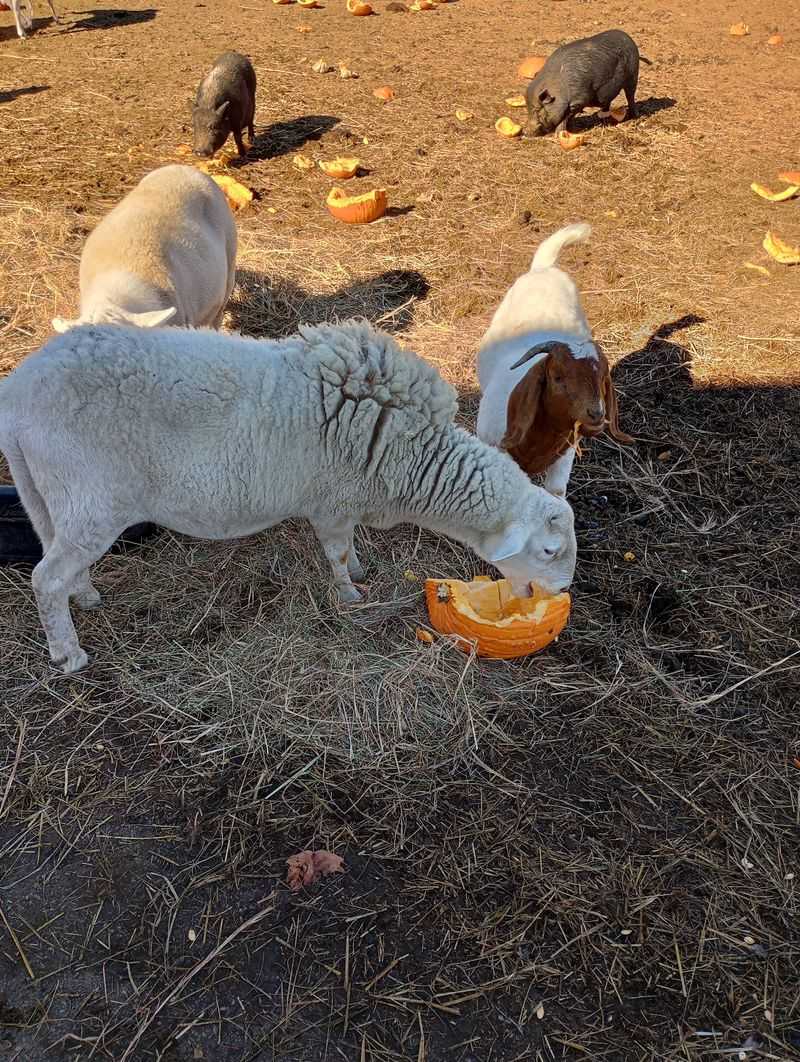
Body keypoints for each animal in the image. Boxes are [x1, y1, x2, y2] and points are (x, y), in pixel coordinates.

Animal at [0, 320, 577, 673]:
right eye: (549, 550)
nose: (560, 595)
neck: (413, 454)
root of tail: (19, 390)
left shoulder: (344, 499)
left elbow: (349, 547)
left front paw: (361, 572)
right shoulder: (332, 500)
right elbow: (337, 553)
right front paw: (350, 594)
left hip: (54, 497)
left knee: (58, 560)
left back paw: (85, 597)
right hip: (90, 496)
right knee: (44, 577)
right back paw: (68, 653)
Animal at [477, 222, 632, 498]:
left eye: (602, 379)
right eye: (557, 377)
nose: (596, 413)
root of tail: (543, 268)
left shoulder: (565, 454)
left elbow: (556, 492)